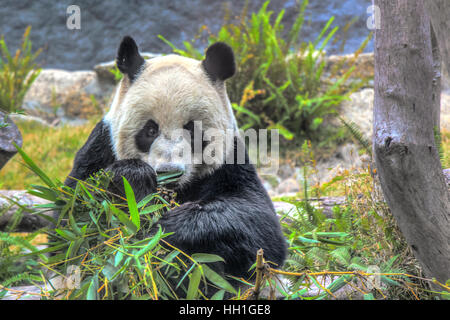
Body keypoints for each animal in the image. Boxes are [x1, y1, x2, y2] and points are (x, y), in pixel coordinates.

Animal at [65, 36, 286, 288]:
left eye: (191, 128)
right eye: (150, 130)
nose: (169, 172)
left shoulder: (230, 160)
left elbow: (260, 225)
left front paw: (170, 226)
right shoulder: (101, 148)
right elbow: (77, 227)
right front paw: (133, 180)